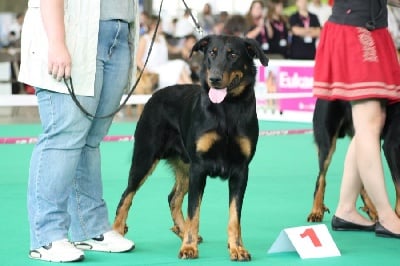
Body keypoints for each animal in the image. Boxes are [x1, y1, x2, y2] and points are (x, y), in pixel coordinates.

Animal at [112, 34, 268, 260]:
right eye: (211, 53)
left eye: (233, 54)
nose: (214, 79)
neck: (226, 109)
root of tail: (154, 95)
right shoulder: (200, 167)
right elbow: (194, 211)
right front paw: (189, 247)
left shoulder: (240, 170)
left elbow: (234, 216)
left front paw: (237, 247)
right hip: (146, 157)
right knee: (127, 195)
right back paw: (116, 231)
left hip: (185, 166)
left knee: (173, 198)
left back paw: (181, 229)